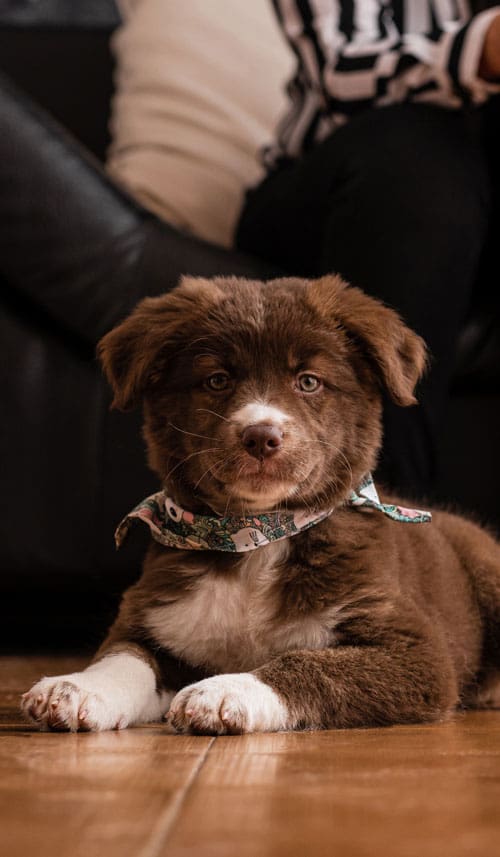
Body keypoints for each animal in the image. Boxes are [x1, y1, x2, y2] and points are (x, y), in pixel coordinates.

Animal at [22, 274, 500, 734]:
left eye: (308, 381)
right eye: (217, 379)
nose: (261, 436)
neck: (257, 535)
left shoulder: (414, 651)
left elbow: (309, 663)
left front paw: (224, 692)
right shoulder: (155, 617)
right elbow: (123, 657)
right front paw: (75, 688)